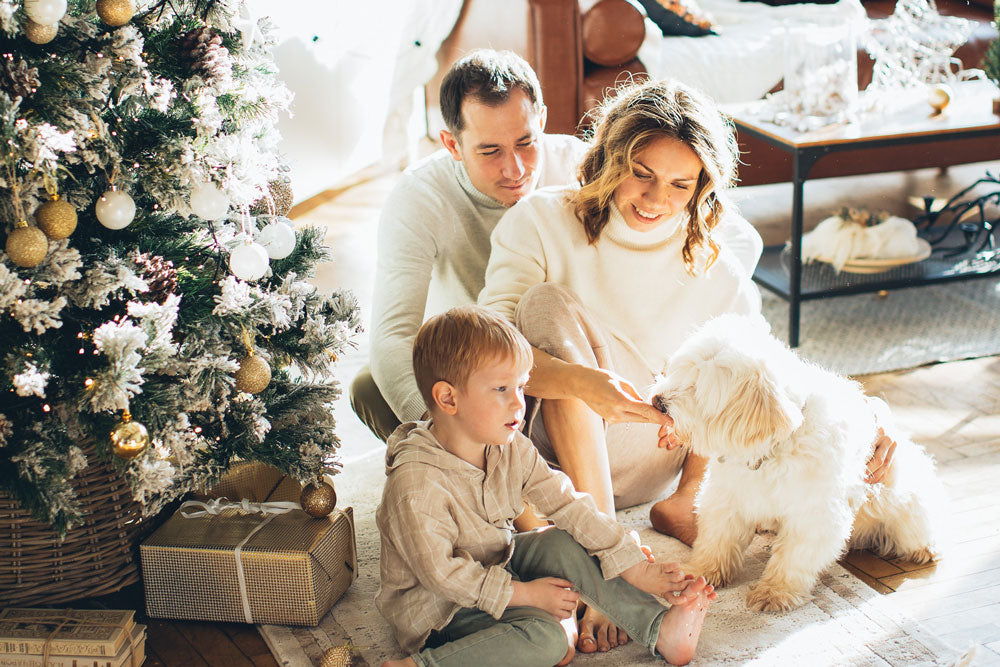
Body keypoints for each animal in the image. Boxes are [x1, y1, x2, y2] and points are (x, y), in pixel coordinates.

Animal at [652, 316, 940, 612]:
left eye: (696, 389)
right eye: (679, 372)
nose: (658, 402)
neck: (772, 450)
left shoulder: (815, 515)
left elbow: (794, 557)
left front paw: (775, 591)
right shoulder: (726, 498)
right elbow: (716, 540)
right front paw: (701, 572)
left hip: (907, 508)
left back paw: (924, 548)